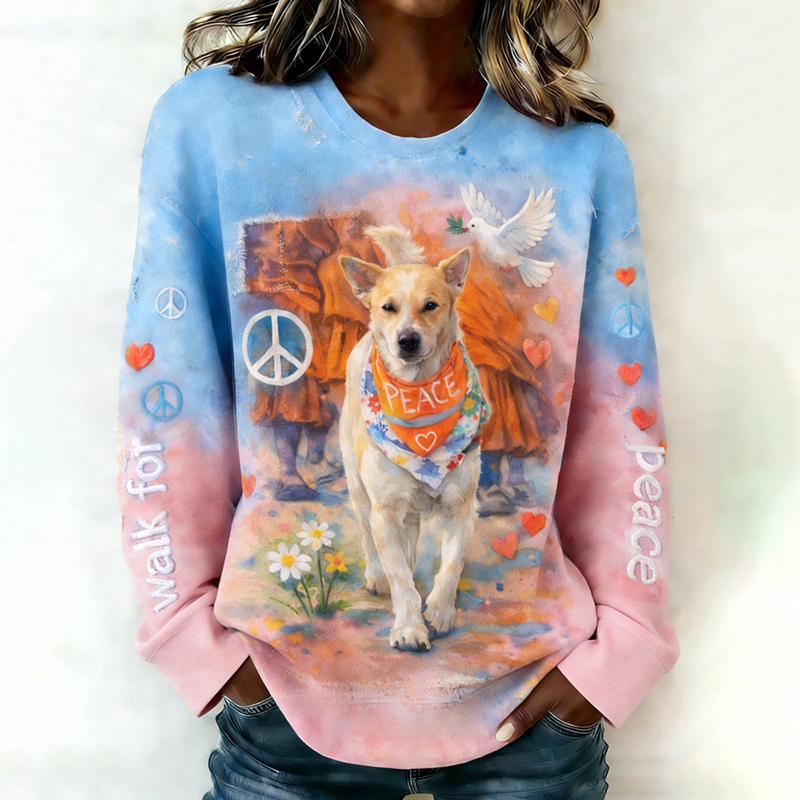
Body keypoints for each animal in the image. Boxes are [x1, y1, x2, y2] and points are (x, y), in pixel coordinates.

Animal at [338, 247, 485, 651]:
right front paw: (408, 627)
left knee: (413, 541)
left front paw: (439, 610)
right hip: (360, 490)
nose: (407, 340)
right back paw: (377, 576)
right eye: (388, 307)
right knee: (370, 538)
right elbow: (399, 575)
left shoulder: (462, 509)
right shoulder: (385, 512)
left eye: (431, 305)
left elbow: (451, 567)